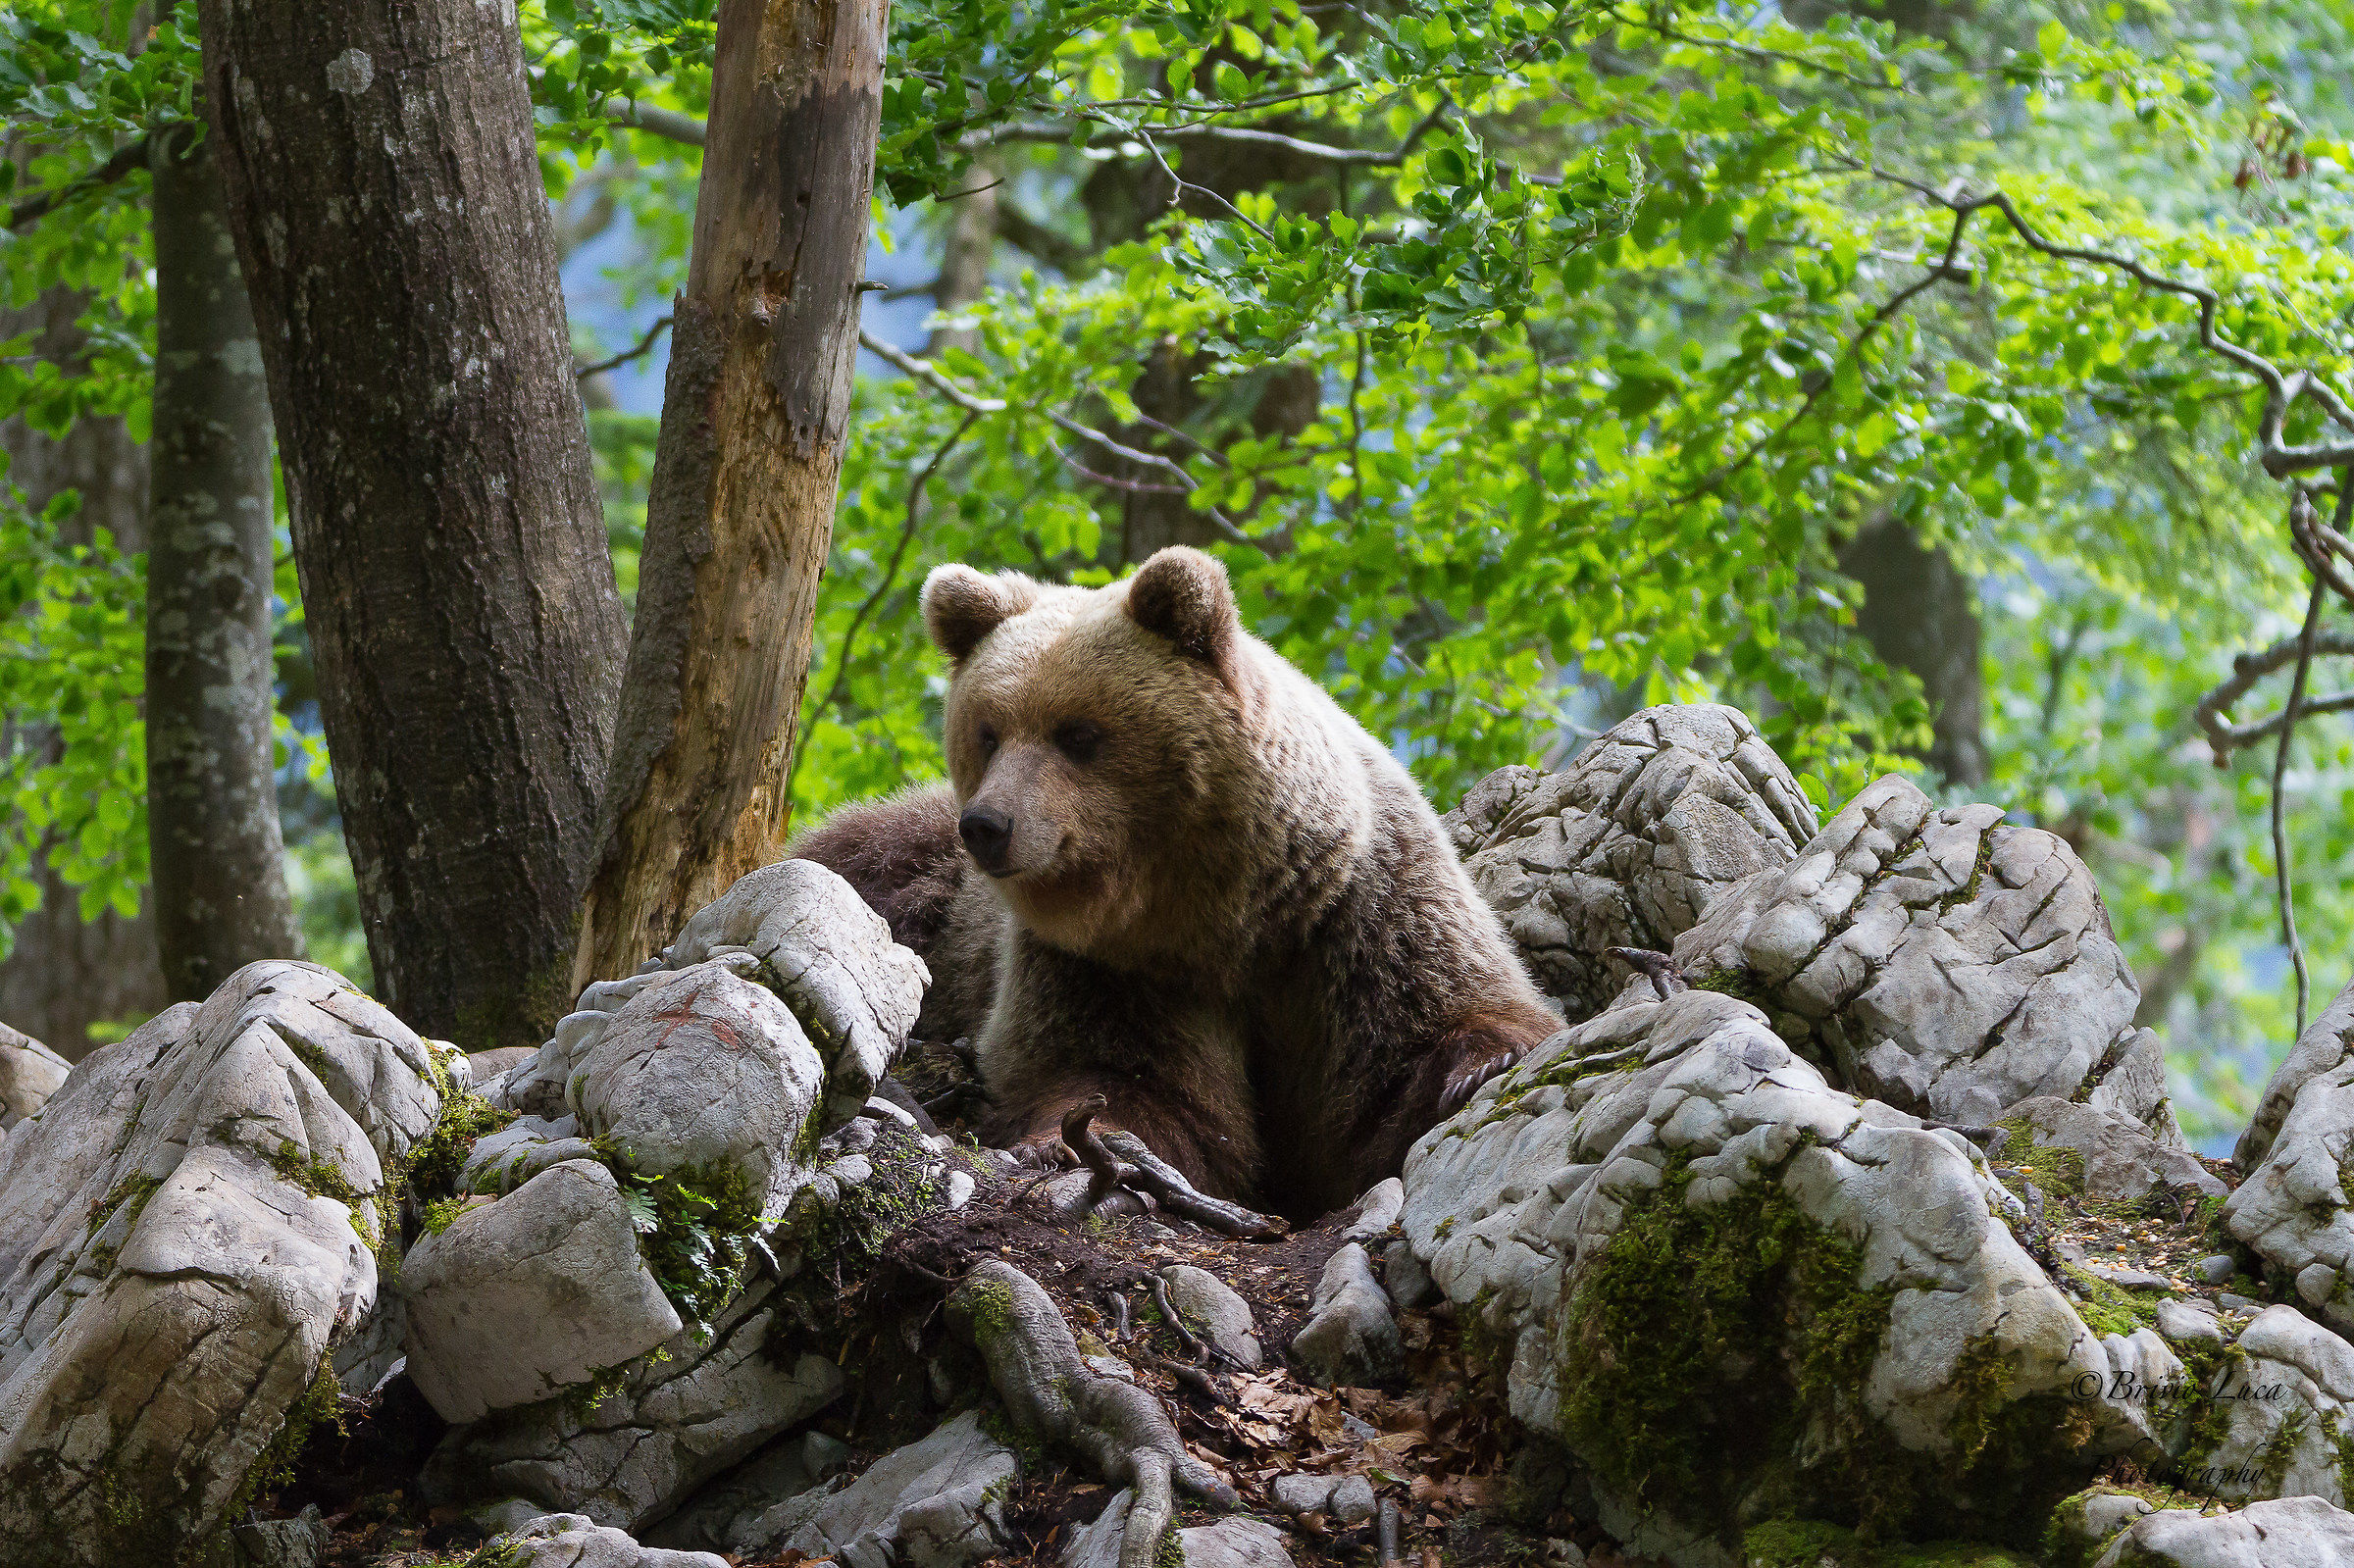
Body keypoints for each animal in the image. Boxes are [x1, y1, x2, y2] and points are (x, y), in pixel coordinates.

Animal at [791, 546, 1558, 1218]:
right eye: (988, 731)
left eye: (1077, 732)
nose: (987, 825)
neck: (1228, 915)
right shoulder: (1112, 966)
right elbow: (1136, 1084)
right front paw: (1071, 1144)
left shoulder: (1355, 909)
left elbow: (1408, 1044)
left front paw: (1472, 1068)